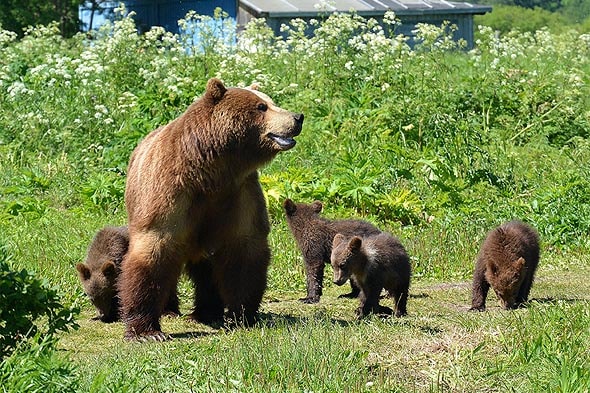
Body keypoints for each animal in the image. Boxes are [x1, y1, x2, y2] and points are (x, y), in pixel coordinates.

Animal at [121, 78, 306, 338]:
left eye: (271, 101)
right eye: (261, 107)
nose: (297, 117)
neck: (211, 172)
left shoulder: (239, 193)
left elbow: (243, 252)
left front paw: (243, 316)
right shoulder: (171, 192)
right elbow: (154, 249)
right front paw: (147, 332)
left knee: (207, 270)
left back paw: (207, 312)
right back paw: (170, 310)